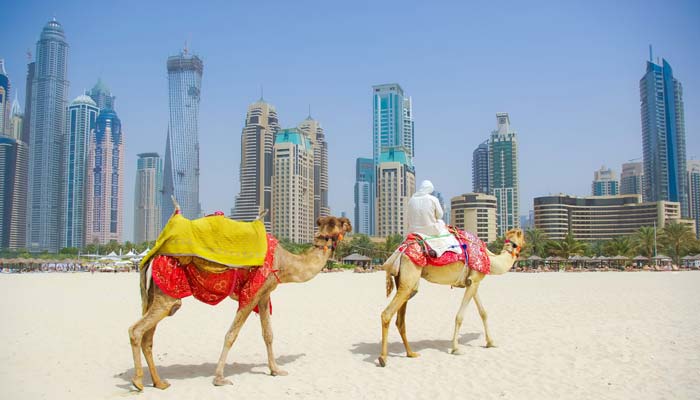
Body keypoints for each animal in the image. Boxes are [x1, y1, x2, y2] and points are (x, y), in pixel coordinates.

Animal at [128, 213, 352, 391]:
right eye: (341, 223)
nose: (349, 224)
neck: (284, 262)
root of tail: (152, 256)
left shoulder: (264, 293)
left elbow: (268, 334)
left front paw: (276, 370)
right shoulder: (251, 293)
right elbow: (231, 335)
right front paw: (219, 378)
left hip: (157, 293)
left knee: (148, 337)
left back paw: (159, 383)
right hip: (168, 292)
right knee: (137, 330)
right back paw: (138, 382)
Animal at [378, 228, 524, 367]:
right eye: (522, 236)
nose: (523, 244)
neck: (490, 259)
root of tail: (400, 250)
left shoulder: (472, 282)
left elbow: (483, 312)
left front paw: (491, 342)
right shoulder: (474, 279)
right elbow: (460, 316)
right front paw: (456, 349)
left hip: (404, 282)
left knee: (400, 320)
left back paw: (411, 353)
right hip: (409, 277)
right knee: (387, 314)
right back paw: (383, 358)